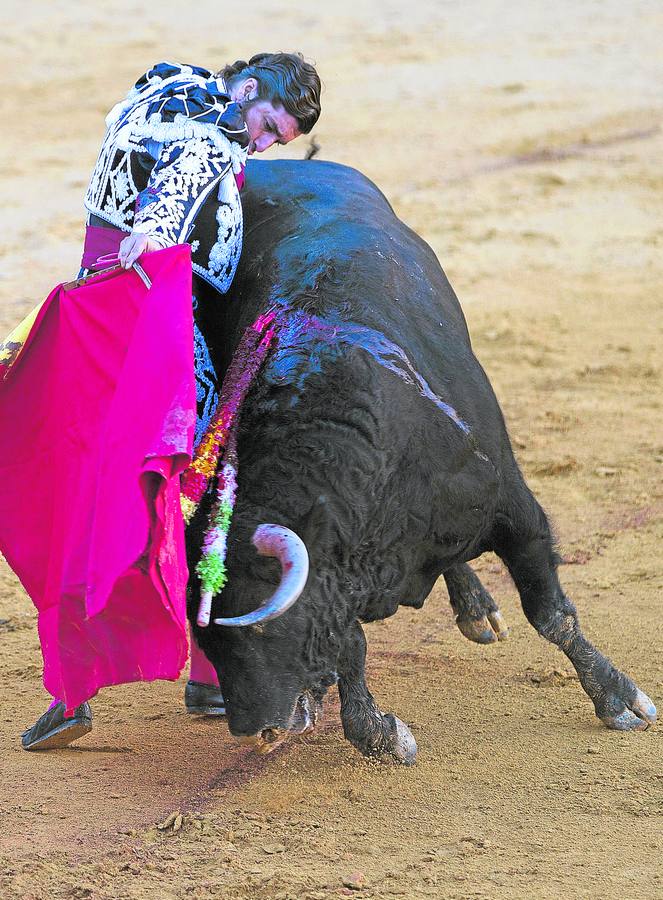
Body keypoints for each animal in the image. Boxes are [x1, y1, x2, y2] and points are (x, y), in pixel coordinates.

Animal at [187, 158, 652, 764]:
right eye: (205, 639)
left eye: (260, 629)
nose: (251, 730)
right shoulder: (342, 570)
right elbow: (349, 646)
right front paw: (379, 733)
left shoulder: (514, 509)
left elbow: (551, 614)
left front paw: (620, 700)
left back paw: (478, 610)